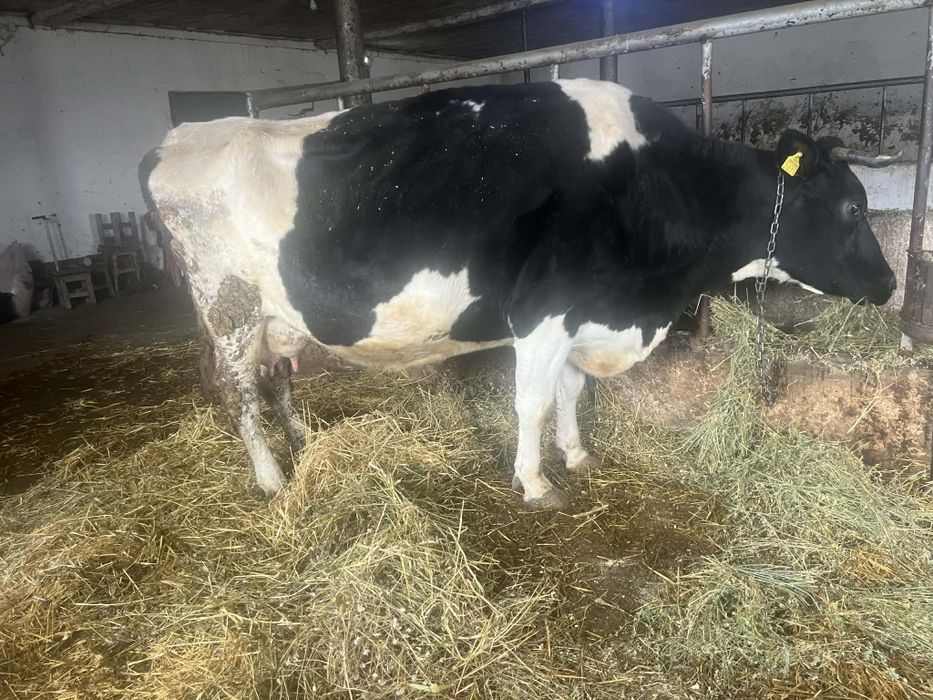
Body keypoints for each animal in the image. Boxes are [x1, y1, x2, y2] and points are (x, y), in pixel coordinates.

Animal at [140, 78, 897, 510]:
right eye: (851, 208)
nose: (890, 284)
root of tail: (179, 138)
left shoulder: (579, 318)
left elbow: (570, 391)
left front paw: (577, 453)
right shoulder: (543, 314)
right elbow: (531, 402)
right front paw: (535, 482)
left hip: (273, 318)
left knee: (278, 375)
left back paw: (305, 442)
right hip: (228, 308)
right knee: (240, 392)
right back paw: (272, 479)